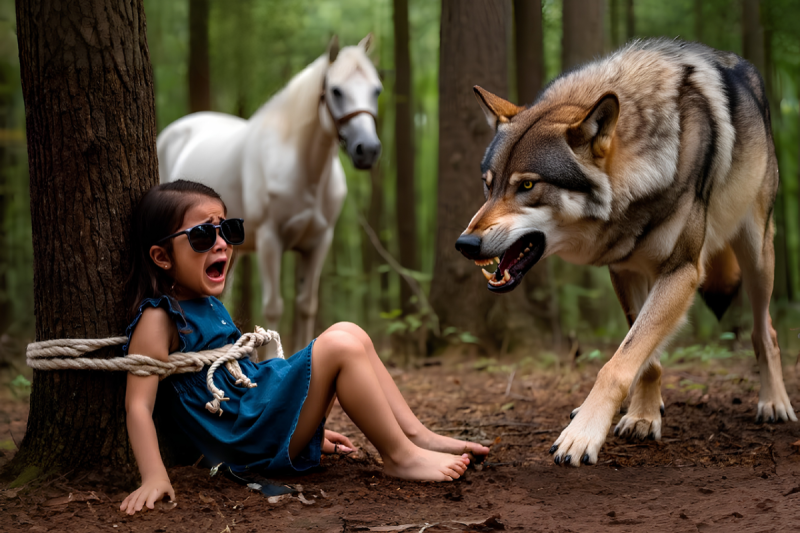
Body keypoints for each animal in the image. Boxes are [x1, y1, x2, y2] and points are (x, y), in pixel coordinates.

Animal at [157, 35, 382, 352]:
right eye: (336, 91)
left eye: (376, 90)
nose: (368, 149)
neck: (306, 172)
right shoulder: (269, 239)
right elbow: (274, 307)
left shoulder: (319, 242)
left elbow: (306, 305)